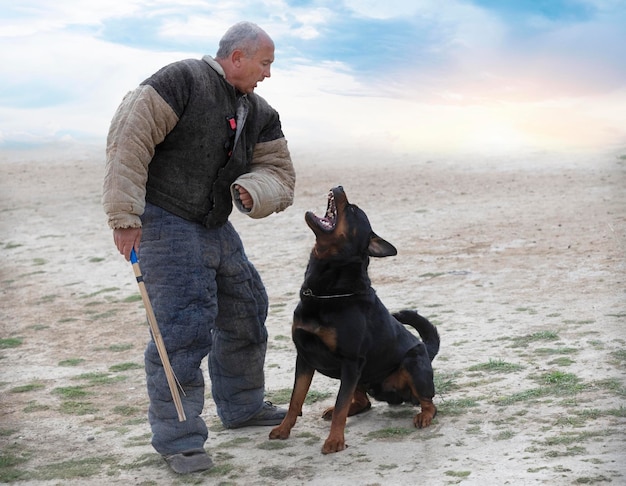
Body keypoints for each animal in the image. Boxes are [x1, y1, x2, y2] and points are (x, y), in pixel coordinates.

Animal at [270, 185, 438, 452]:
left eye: (352, 209)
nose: (338, 187)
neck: (327, 292)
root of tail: (426, 349)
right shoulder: (304, 357)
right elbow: (296, 399)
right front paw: (284, 429)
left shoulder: (351, 360)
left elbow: (340, 403)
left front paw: (335, 441)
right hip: (358, 374)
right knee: (363, 401)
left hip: (412, 364)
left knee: (429, 402)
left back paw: (424, 415)